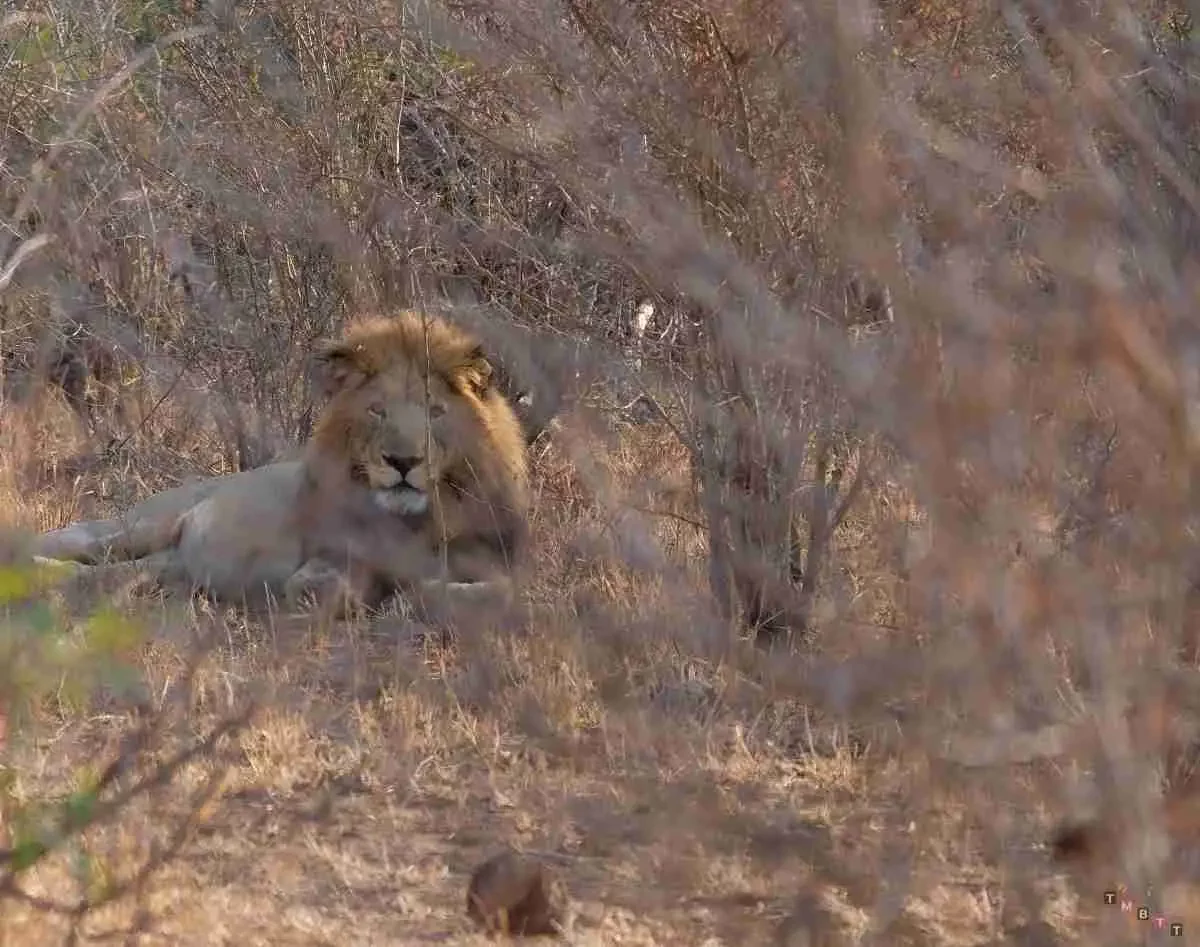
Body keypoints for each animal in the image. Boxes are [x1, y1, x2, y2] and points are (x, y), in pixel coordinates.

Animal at [32, 311, 532, 615]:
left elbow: (498, 595)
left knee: (102, 577)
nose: (403, 460)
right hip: (136, 526)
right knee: (75, 540)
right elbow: (321, 585)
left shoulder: (500, 565)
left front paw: (412, 595)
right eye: (377, 411)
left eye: (435, 412)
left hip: (157, 567)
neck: (422, 519)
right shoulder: (329, 553)